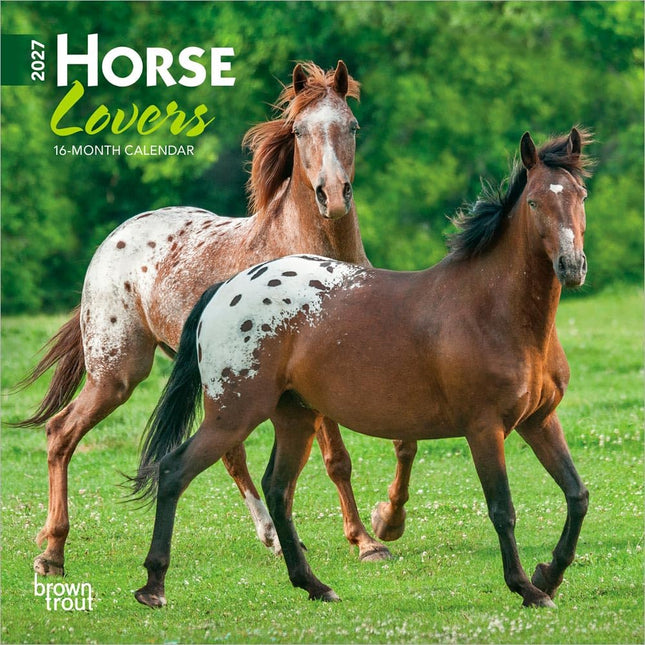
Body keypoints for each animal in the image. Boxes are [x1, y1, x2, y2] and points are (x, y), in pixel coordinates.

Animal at [14, 60, 395, 577]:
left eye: (352, 126)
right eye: (298, 131)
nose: (332, 196)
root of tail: (115, 238)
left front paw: (370, 533)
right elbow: (336, 457)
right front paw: (366, 542)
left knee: (230, 453)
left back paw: (273, 537)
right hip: (117, 374)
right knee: (60, 433)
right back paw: (52, 552)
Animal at [132, 128, 592, 609]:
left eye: (580, 194)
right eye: (534, 202)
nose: (571, 266)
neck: (492, 311)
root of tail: (225, 288)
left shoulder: (540, 420)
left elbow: (576, 494)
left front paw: (549, 574)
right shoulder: (485, 428)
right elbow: (503, 510)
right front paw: (526, 587)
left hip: (294, 418)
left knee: (277, 489)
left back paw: (314, 585)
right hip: (233, 415)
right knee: (174, 471)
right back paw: (154, 586)